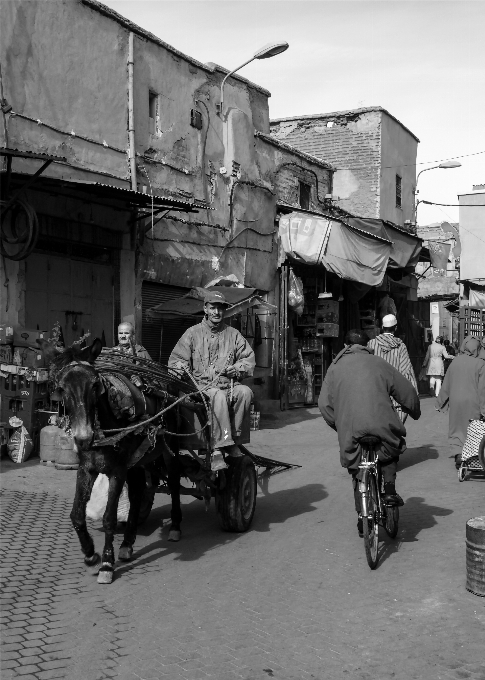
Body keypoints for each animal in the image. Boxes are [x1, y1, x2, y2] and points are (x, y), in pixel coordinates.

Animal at [39, 338, 187, 580]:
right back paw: (127, 543)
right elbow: (76, 515)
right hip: (137, 461)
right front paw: (90, 554)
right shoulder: (87, 468)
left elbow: (109, 517)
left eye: (95, 385)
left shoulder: (117, 470)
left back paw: (175, 527)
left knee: (174, 483)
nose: (83, 437)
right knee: (137, 492)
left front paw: (107, 563)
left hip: (169, 449)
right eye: (61, 388)